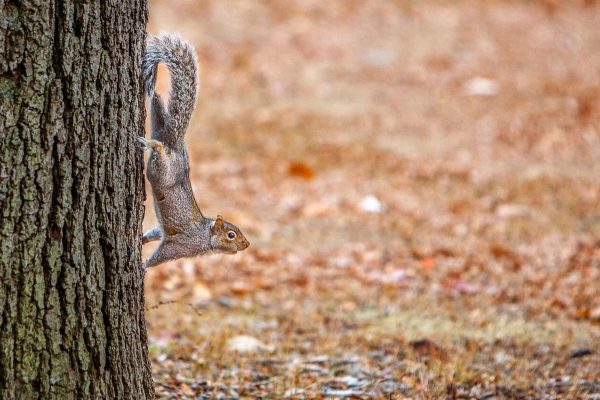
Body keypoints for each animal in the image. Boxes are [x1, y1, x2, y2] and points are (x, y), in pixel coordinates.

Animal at [139, 33, 249, 268]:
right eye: (231, 235)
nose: (247, 244)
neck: (205, 238)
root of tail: (175, 144)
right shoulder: (181, 246)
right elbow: (160, 256)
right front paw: (143, 266)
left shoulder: (163, 232)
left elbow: (155, 232)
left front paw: (142, 239)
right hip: (161, 172)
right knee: (158, 155)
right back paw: (154, 145)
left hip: (159, 124)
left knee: (157, 104)